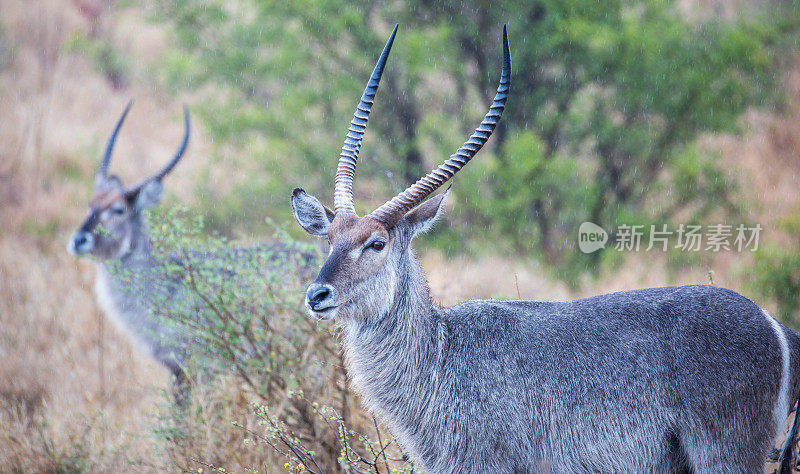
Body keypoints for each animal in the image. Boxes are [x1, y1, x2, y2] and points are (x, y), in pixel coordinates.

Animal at [290, 24, 800, 472]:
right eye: (330, 239)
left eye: (376, 242)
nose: (317, 295)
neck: (441, 354)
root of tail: (772, 324)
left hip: (726, 452)